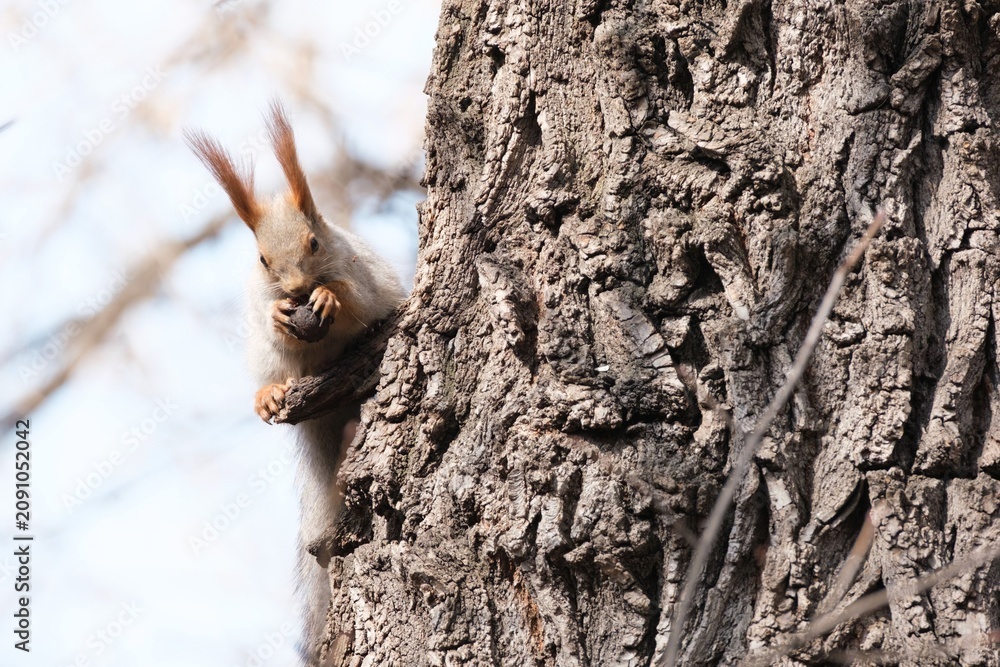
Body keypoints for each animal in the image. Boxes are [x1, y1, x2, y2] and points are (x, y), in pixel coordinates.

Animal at [186, 101, 407, 665]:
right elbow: (270, 325)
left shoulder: (361, 272)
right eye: (263, 259)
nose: (296, 288)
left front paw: (329, 297)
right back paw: (268, 396)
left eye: (314, 242)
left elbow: (358, 296)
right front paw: (282, 315)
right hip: (267, 364)